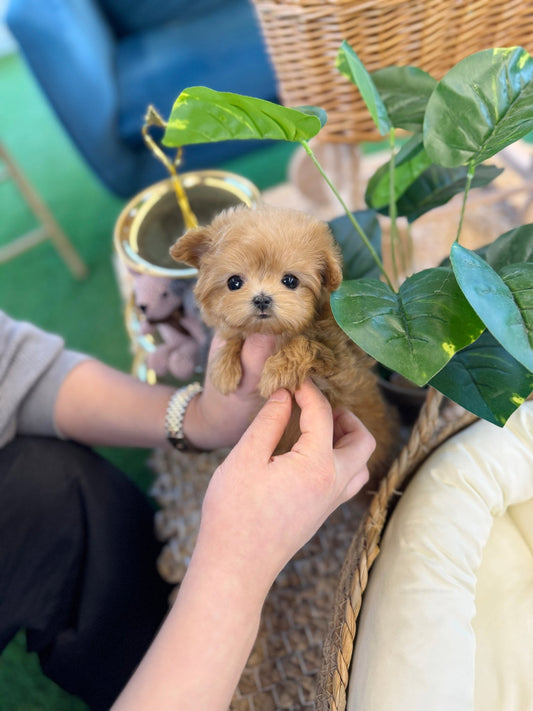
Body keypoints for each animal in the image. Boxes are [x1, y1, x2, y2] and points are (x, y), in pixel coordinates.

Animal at [170, 204, 400, 484]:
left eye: (290, 280)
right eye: (234, 282)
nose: (261, 299)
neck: (272, 333)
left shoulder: (339, 362)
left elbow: (306, 342)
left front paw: (277, 371)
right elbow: (235, 333)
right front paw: (223, 369)